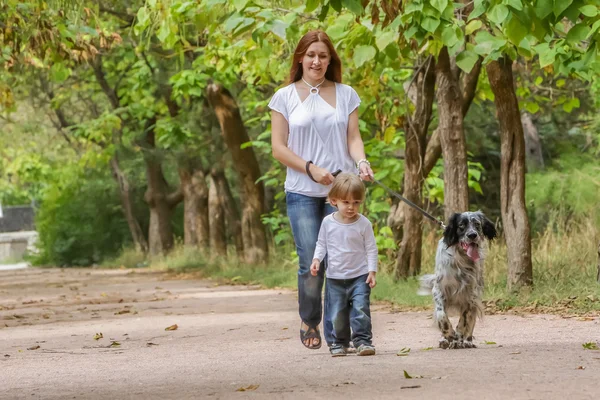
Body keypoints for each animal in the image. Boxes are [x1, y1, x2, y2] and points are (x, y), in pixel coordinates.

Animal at [418, 211, 496, 348]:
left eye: (477, 224)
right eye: (461, 225)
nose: (472, 235)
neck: (462, 259)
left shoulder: (470, 296)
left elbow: (464, 320)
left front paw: (459, 336)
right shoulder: (439, 290)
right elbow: (442, 315)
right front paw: (448, 334)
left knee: (470, 321)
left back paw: (466, 341)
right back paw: (445, 340)